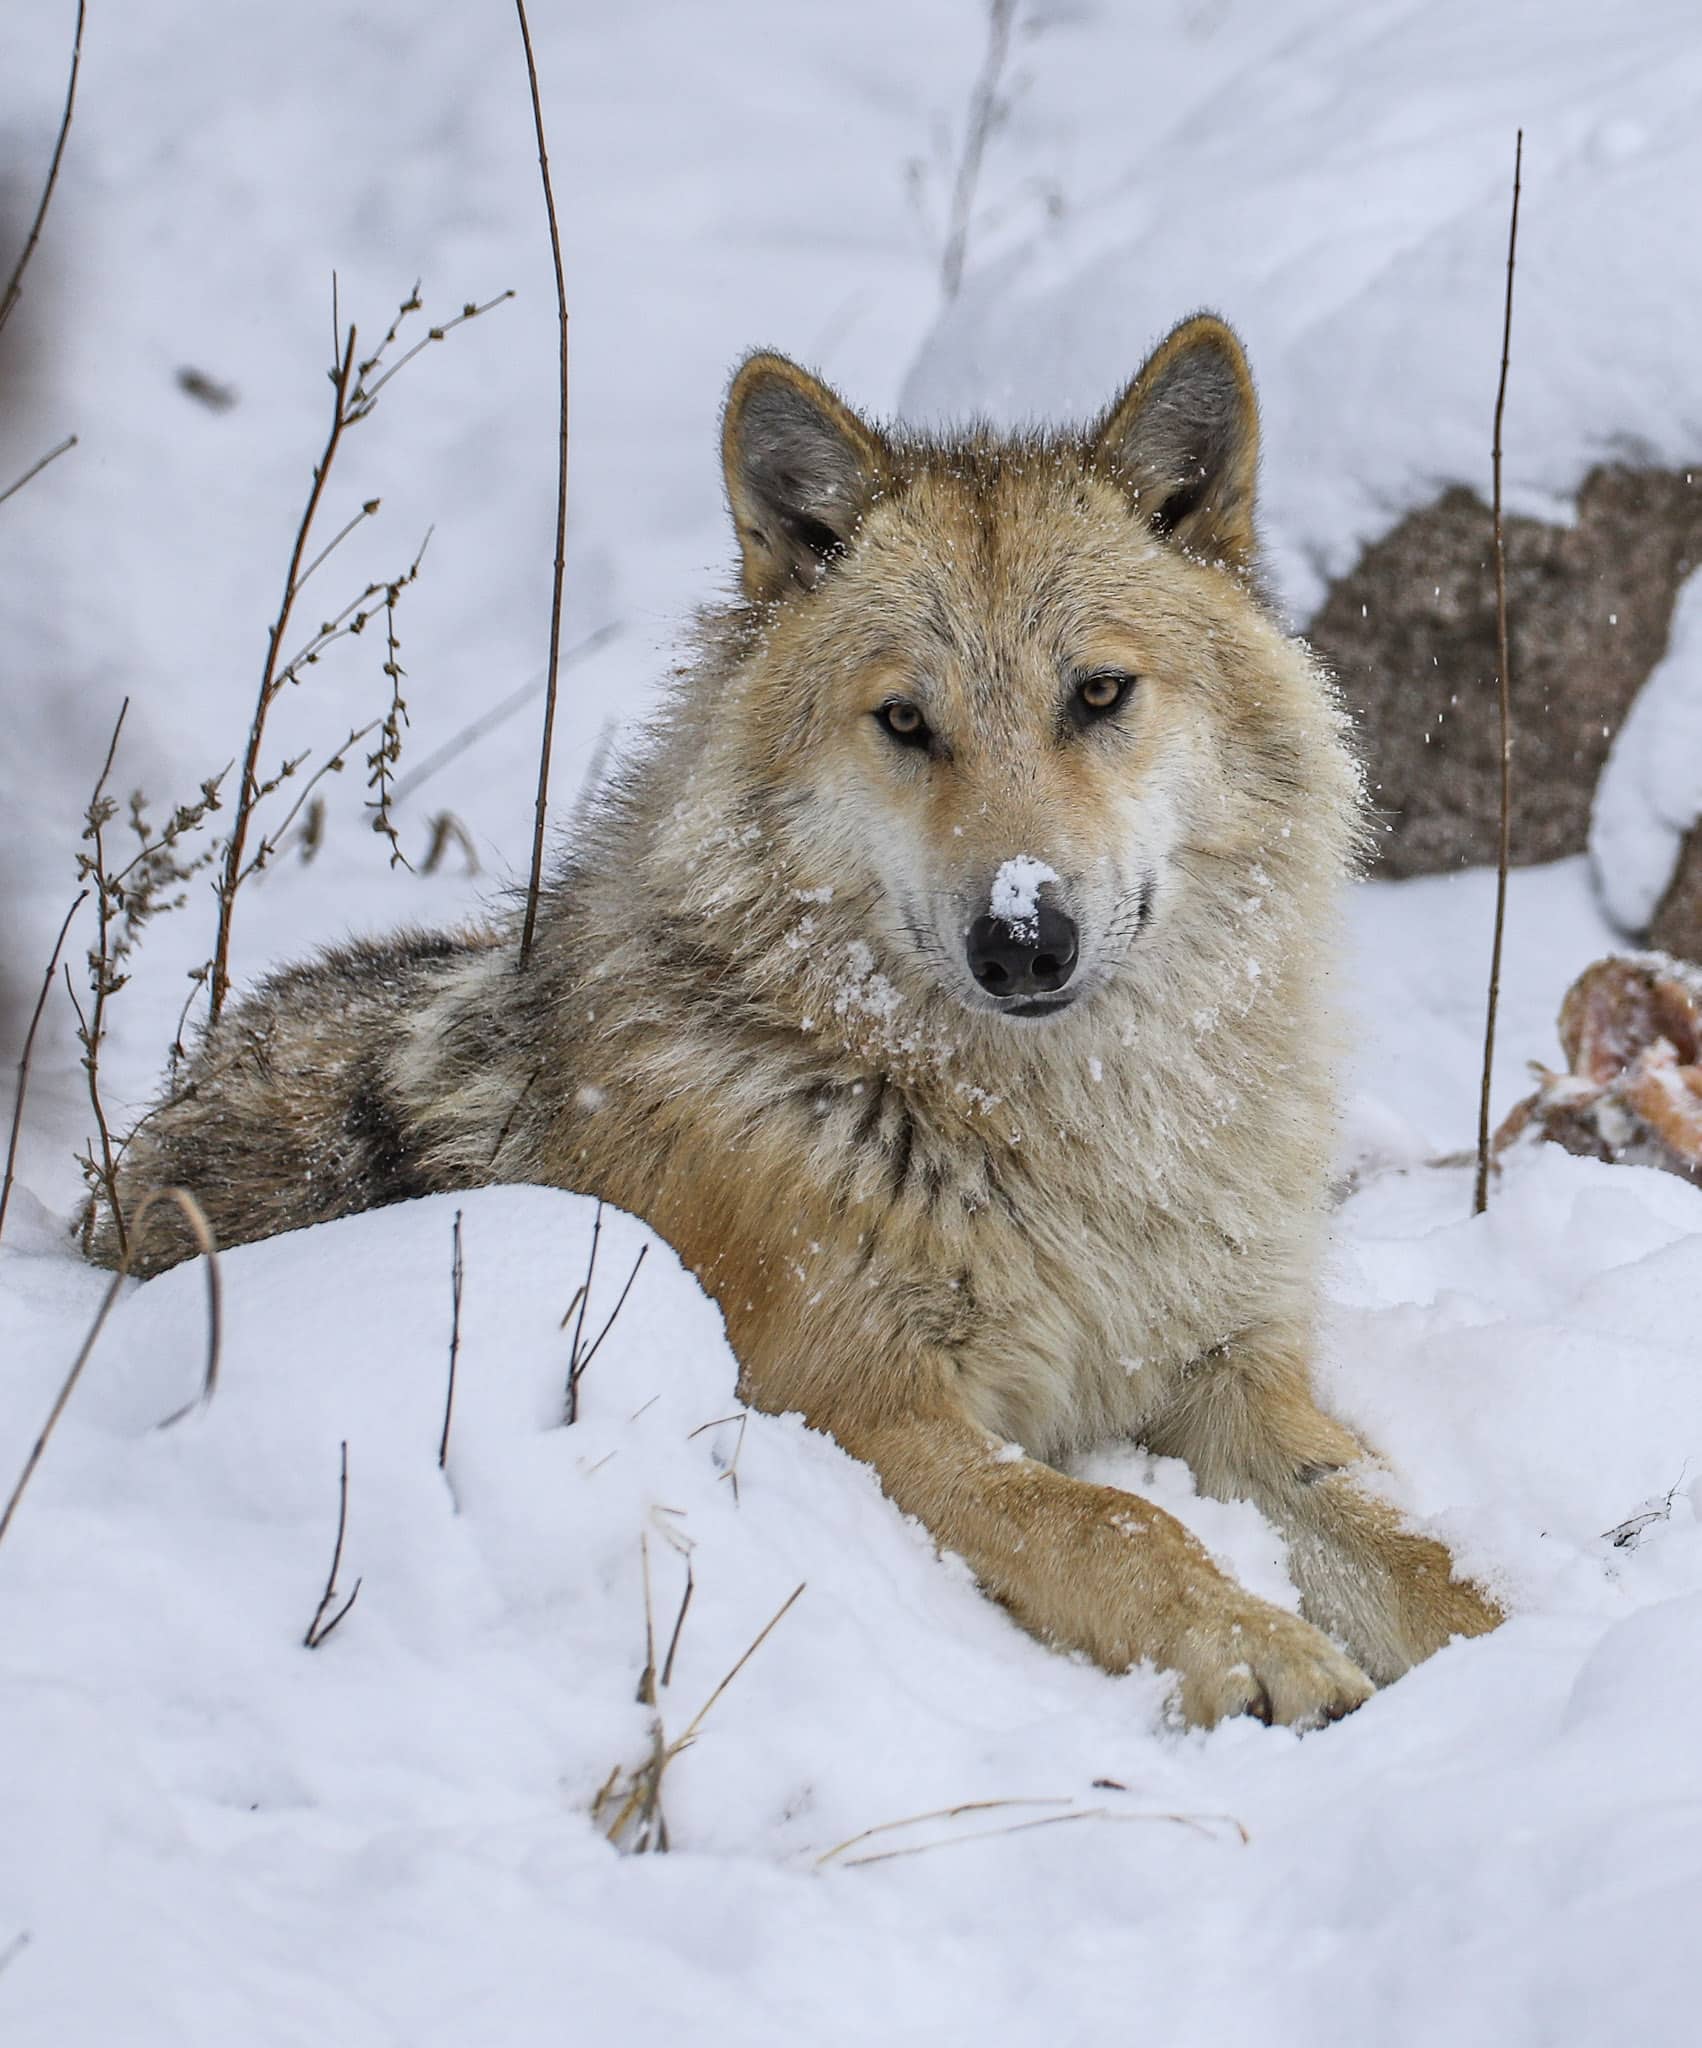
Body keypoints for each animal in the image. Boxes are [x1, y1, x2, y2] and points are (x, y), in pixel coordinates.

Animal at [96, 315, 1507, 1728]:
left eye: (1100, 694)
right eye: (906, 720)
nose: (1021, 939)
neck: (1066, 1133)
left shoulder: (1230, 1379)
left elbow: (1408, 1537)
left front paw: (1525, 1653)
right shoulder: (860, 1408)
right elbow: (1112, 1521)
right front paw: (1256, 1645)